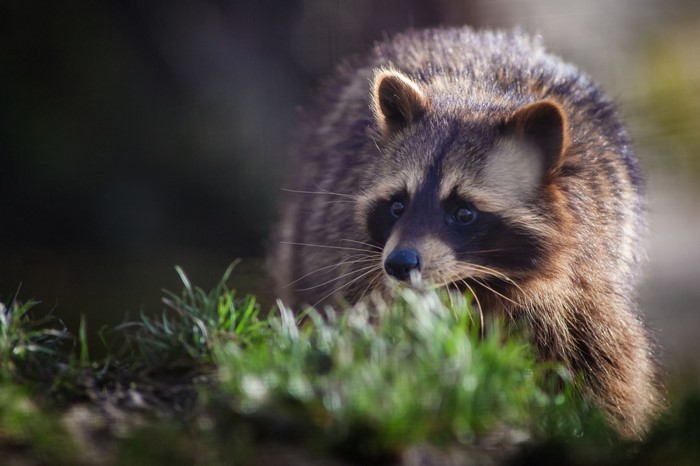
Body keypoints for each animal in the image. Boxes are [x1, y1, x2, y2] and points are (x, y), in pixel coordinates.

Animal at [269, 27, 658, 437]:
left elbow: (603, 367)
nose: (399, 264)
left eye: (464, 213)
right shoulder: (363, 274)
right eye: (398, 206)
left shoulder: (583, 287)